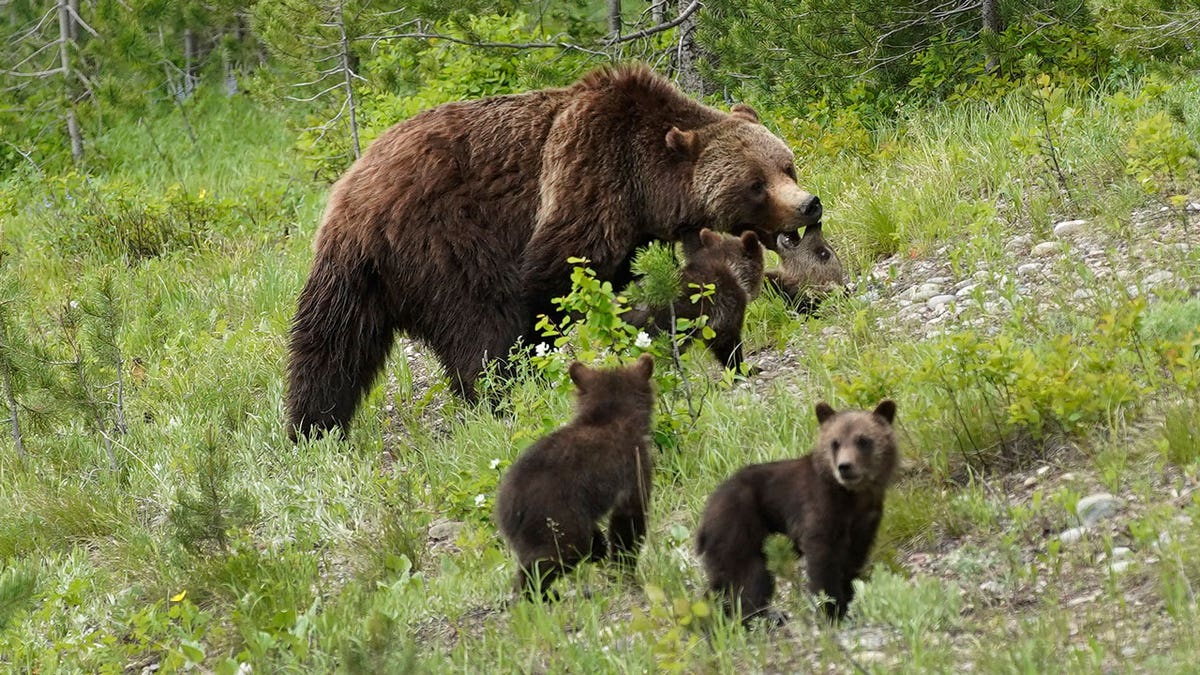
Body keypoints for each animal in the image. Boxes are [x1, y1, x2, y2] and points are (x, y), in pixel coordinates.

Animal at [285, 65, 820, 439]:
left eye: (786, 165)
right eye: (755, 184)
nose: (809, 205)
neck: (647, 185)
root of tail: (349, 196)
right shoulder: (588, 180)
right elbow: (557, 279)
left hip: (361, 279)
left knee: (333, 346)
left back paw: (313, 427)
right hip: (444, 245)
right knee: (478, 329)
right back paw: (499, 397)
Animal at [696, 396, 902, 624]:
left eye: (863, 440)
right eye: (835, 443)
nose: (845, 466)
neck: (853, 496)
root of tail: (705, 515)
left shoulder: (865, 520)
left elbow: (853, 559)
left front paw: (848, 600)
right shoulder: (819, 508)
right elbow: (823, 560)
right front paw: (831, 609)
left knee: (721, 581)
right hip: (739, 528)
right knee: (750, 577)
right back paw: (756, 618)